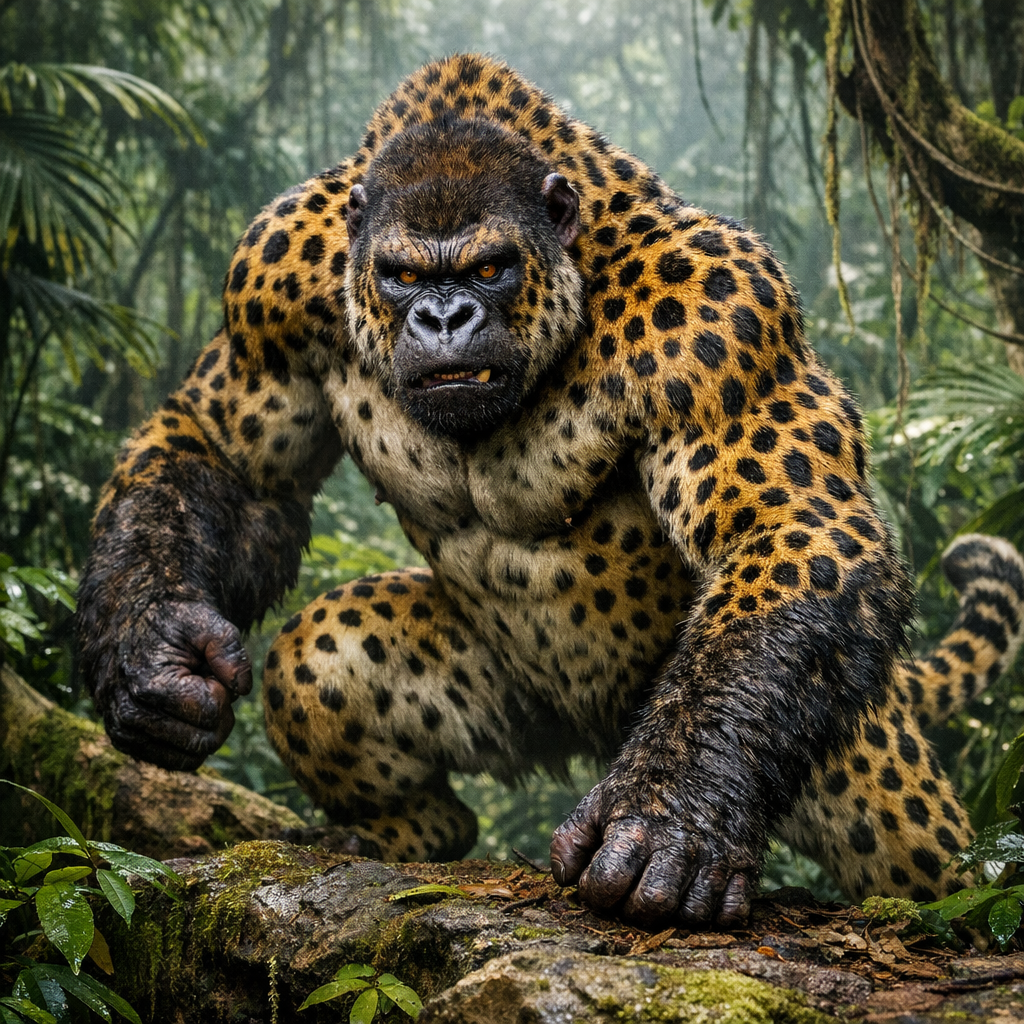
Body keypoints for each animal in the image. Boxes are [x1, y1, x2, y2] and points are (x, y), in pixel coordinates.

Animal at [76, 53, 1024, 929]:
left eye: (489, 268)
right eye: (404, 276)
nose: (444, 318)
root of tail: (600, 729)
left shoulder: (723, 315)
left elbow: (785, 521)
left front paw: (671, 815)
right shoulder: (266, 286)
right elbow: (225, 457)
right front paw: (153, 655)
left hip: (871, 783)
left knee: (931, 862)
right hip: (484, 687)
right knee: (319, 660)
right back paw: (398, 834)